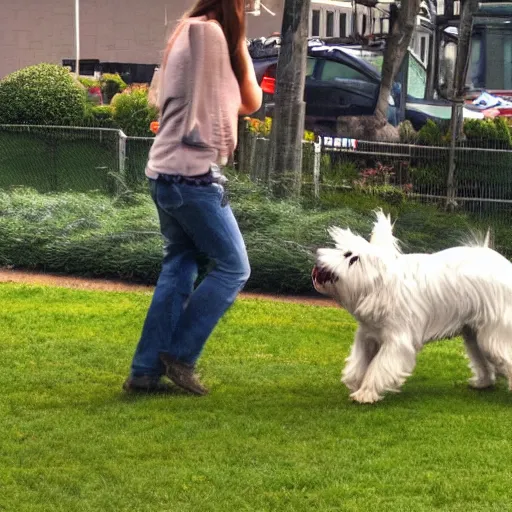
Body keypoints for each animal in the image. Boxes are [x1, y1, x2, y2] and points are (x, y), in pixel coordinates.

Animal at [312, 210, 512, 402]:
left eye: (348, 256)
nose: (318, 253)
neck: (380, 287)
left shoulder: (396, 341)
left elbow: (378, 369)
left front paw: (366, 394)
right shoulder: (368, 336)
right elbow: (359, 364)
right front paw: (356, 384)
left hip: (493, 336)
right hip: (474, 334)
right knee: (482, 360)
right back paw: (483, 382)